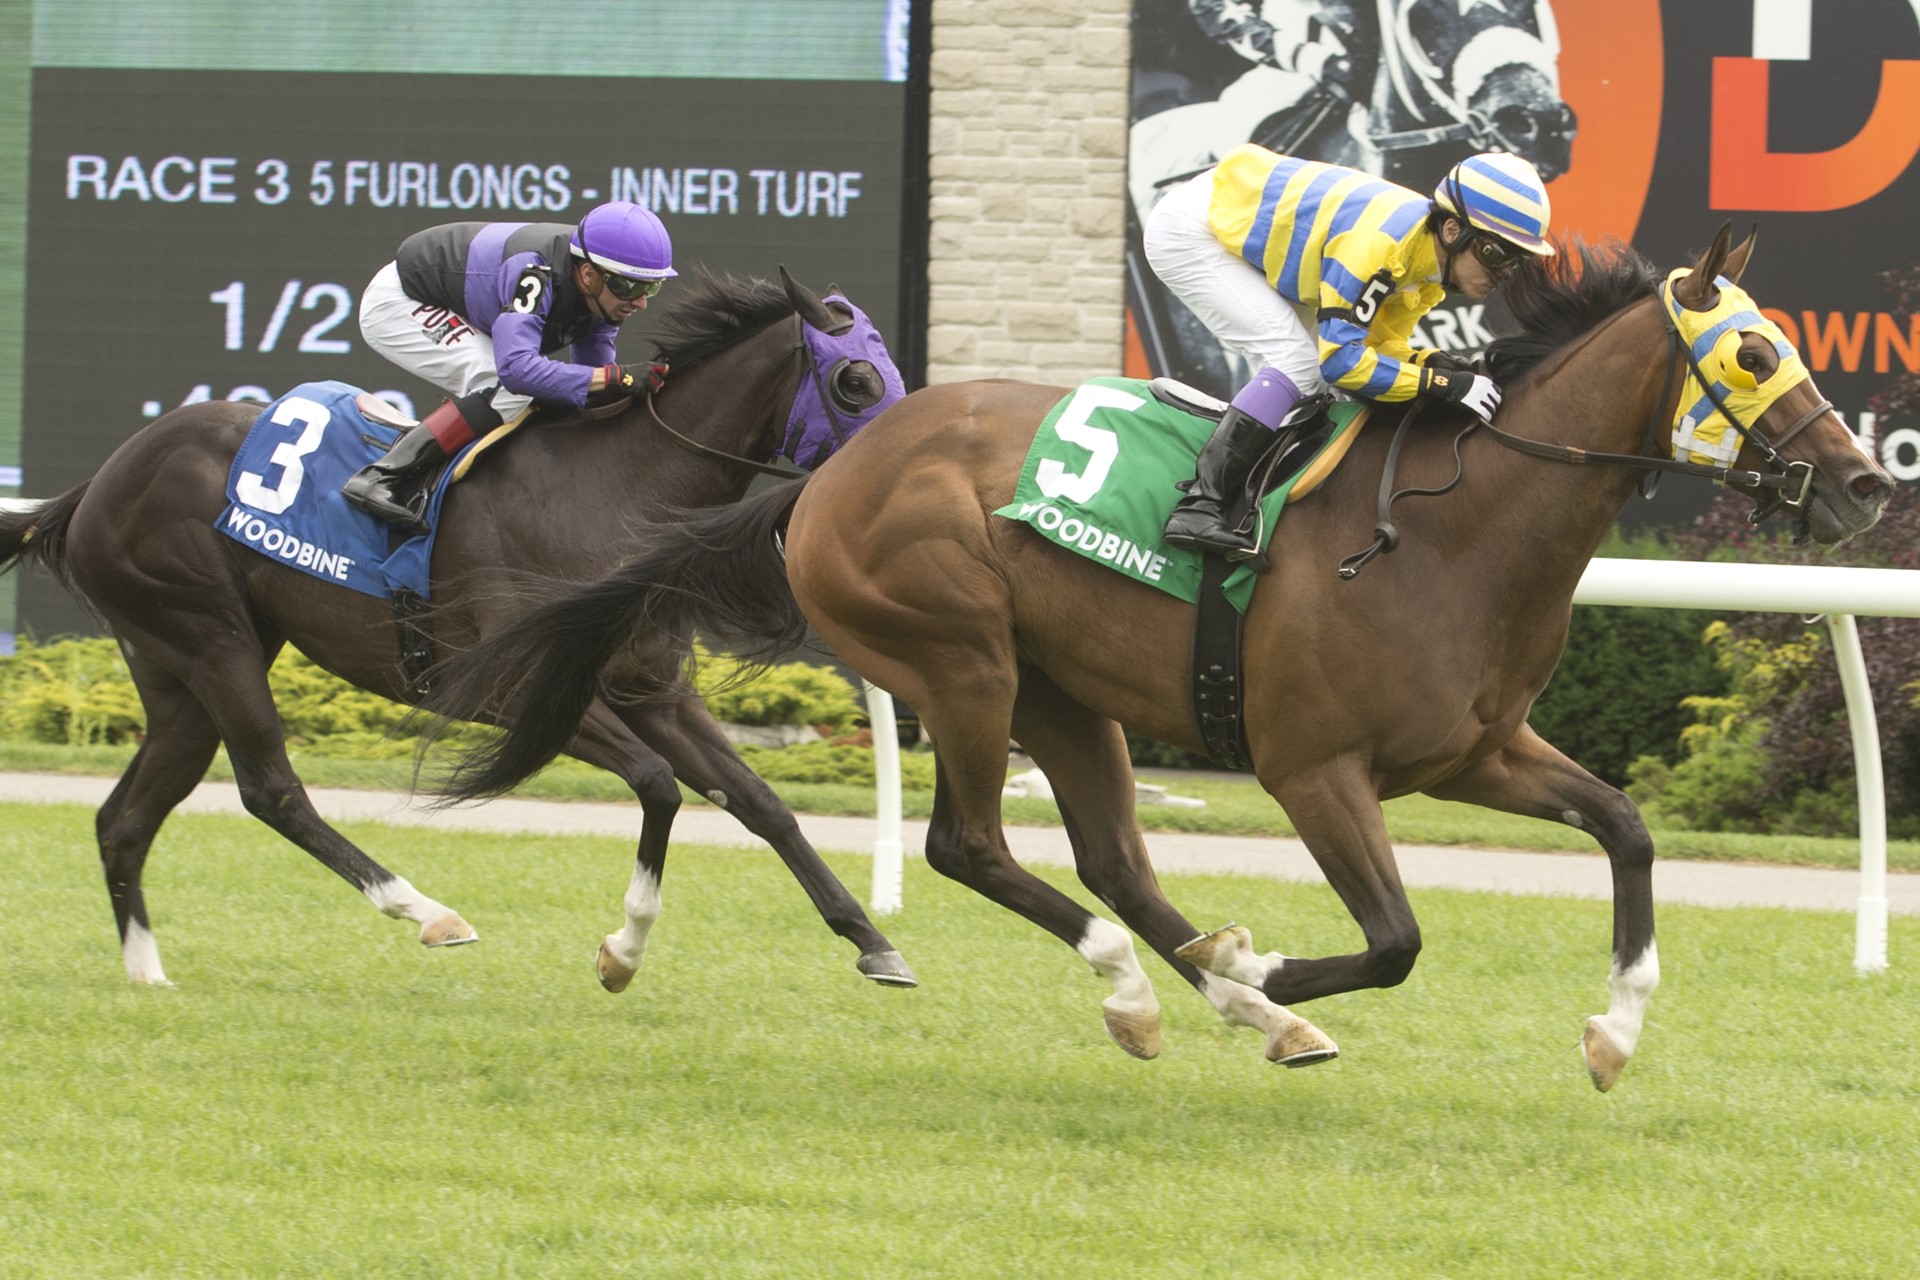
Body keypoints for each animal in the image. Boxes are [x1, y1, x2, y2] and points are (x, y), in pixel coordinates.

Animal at [0, 268, 917, 990]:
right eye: (856, 383)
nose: (898, 467)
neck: (616, 491)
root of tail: (100, 479)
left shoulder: (650, 688)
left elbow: (761, 804)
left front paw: (874, 942)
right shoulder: (517, 688)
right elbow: (660, 784)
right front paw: (621, 952)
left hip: (177, 664)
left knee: (125, 818)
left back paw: (147, 973)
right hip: (208, 634)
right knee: (270, 789)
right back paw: (426, 910)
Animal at [416, 230, 1889, 1090]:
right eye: (1753, 349)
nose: (1869, 483)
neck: (1453, 526)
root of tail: (825, 479)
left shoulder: (1480, 748)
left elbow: (1630, 829)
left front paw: (1615, 1028)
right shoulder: (1314, 767)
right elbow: (1398, 938)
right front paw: (1269, 970)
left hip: (1069, 693)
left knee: (1112, 859)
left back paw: (1226, 999)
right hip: (963, 656)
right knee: (972, 846)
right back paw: (1160, 989)